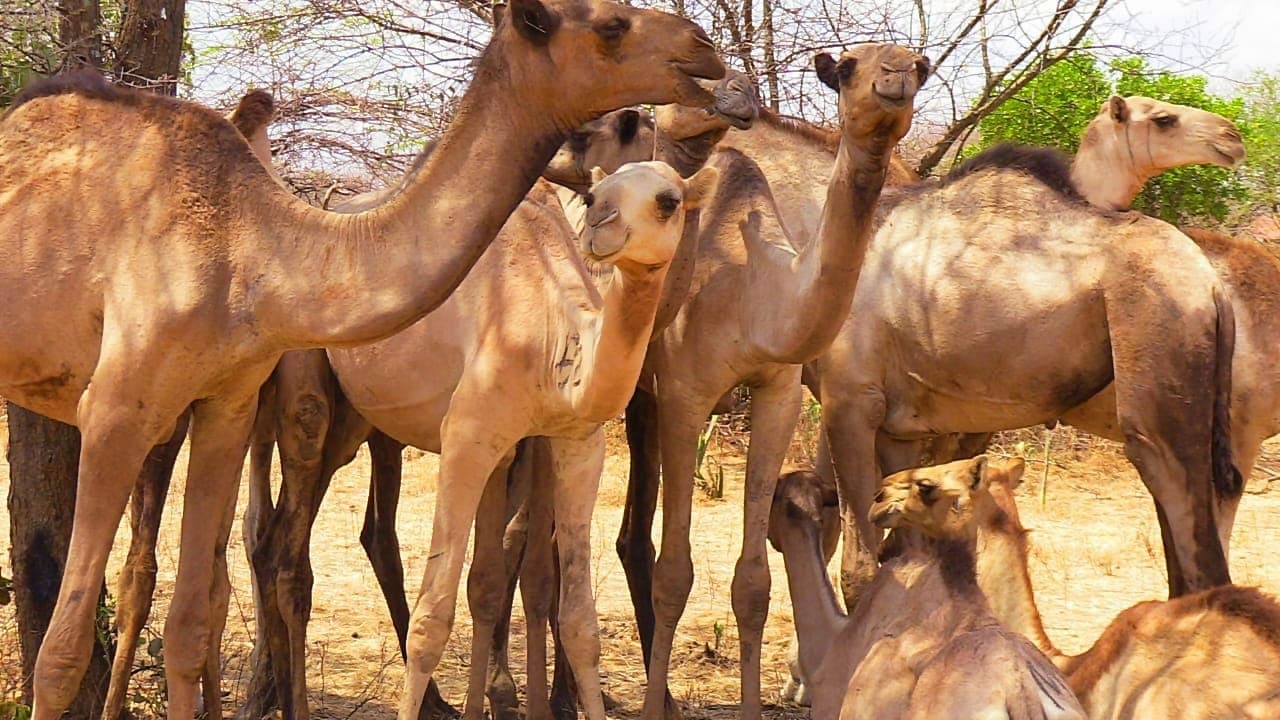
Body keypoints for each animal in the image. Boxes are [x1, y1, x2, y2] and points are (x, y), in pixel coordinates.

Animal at [0, 3, 724, 717]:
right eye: (610, 26)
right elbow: (60, 654)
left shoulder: (226, 404)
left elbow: (188, 627)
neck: (251, 249)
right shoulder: (117, 410)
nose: (706, 50)